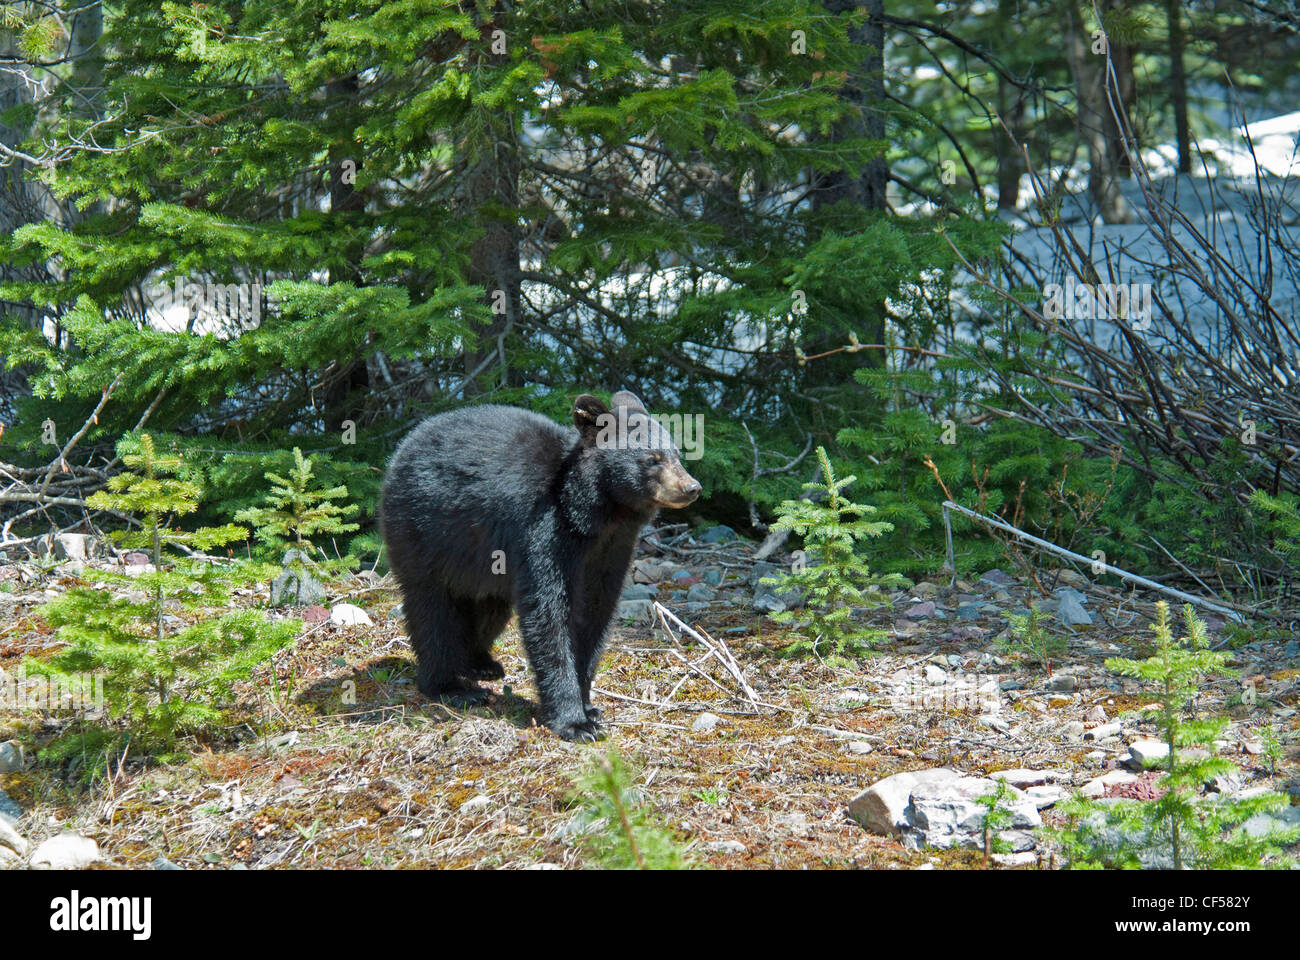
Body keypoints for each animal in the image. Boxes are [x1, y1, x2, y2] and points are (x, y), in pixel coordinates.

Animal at [379, 390, 702, 738]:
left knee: (488, 609)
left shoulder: (613, 548)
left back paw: (481, 663)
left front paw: (588, 705)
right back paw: (451, 687)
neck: (594, 515)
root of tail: (403, 448)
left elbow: (596, 611)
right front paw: (574, 721)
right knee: (432, 613)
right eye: (652, 458)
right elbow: (548, 611)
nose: (692, 487)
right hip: (422, 532)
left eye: (677, 454)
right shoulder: (543, 529)